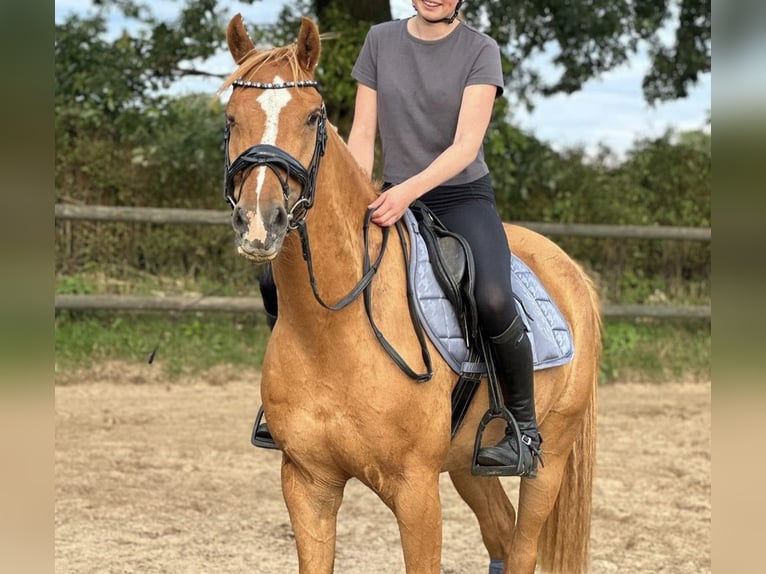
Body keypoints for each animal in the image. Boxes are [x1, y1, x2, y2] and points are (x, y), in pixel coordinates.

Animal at [221, 14, 601, 574]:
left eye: (313, 117)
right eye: (231, 118)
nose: (259, 223)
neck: (333, 331)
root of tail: (568, 268)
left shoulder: (416, 491)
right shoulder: (307, 483)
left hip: (548, 459)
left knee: (523, 546)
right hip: (466, 465)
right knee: (501, 535)